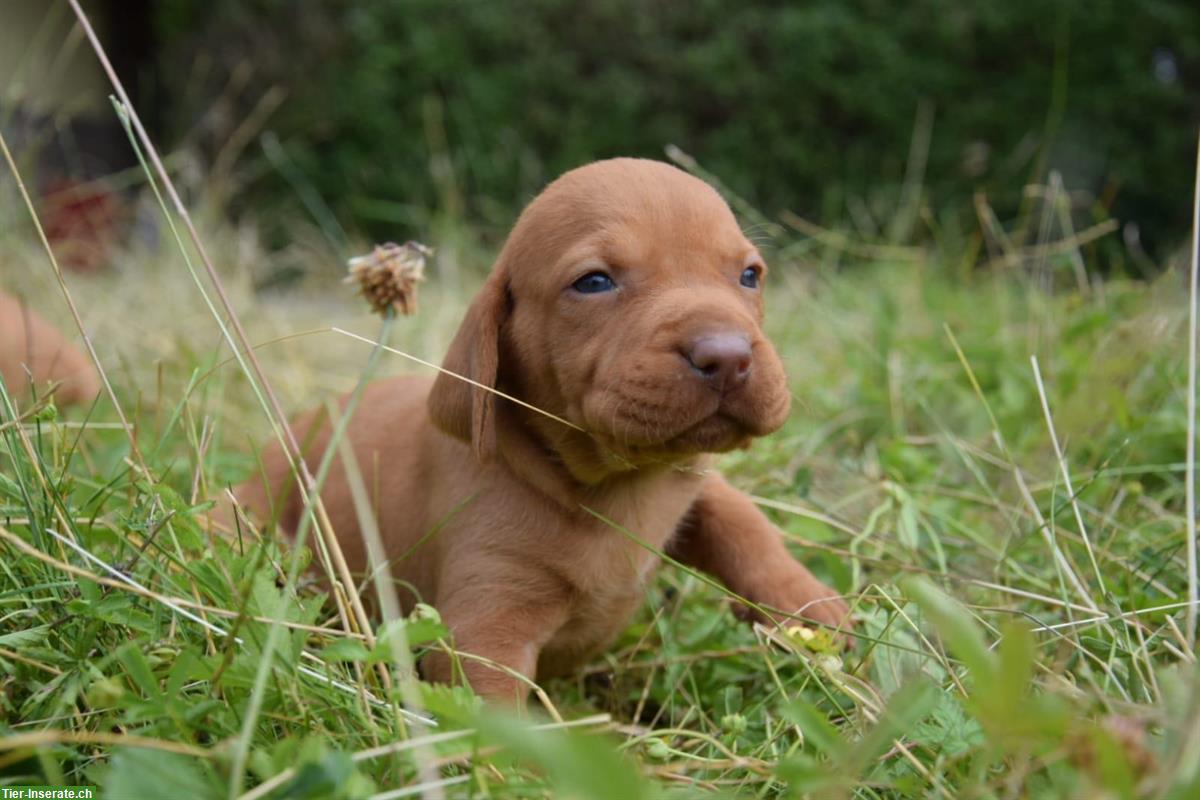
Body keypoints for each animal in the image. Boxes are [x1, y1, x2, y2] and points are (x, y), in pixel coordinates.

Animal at [236, 159, 854, 705]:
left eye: (749, 275)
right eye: (595, 282)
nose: (728, 357)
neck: (615, 485)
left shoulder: (683, 483)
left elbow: (741, 518)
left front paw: (809, 606)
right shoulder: (484, 630)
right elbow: (493, 719)